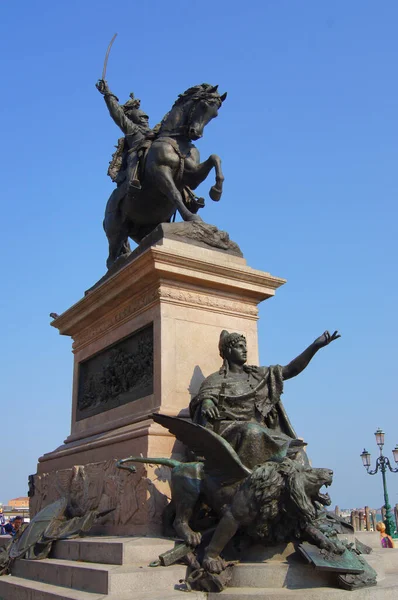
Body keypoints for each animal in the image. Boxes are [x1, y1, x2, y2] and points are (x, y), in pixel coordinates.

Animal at [102, 84, 227, 270]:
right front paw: (192, 217)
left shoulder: (192, 176)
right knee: (110, 260)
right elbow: (175, 194)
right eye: (204, 106)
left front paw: (216, 191)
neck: (177, 140)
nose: (195, 133)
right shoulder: (160, 171)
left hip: (142, 228)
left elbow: (214, 158)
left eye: (215, 114)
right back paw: (121, 262)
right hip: (116, 229)